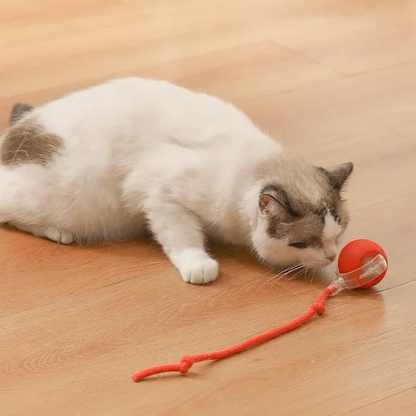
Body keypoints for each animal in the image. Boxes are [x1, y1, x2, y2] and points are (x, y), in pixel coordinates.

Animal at [0, 76, 354, 284]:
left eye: (337, 236)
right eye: (302, 244)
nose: (330, 256)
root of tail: (16, 131)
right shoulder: (162, 196)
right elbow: (184, 238)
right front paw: (199, 266)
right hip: (66, 199)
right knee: (13, 216)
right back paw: (58, 233)